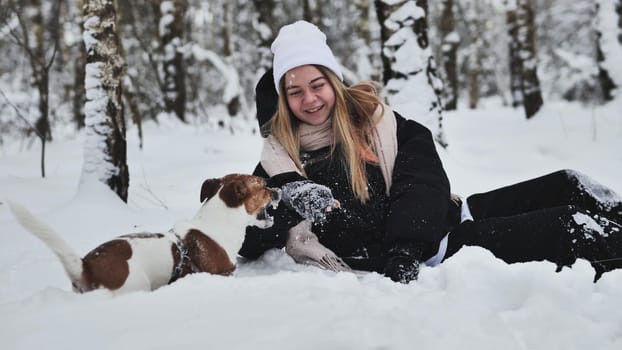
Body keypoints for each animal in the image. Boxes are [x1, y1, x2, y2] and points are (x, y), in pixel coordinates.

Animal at [9, 174, 280, 292]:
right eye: (263, 186)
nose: (278, 190)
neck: (218, 223)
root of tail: (86, 266)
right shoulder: (222, 274)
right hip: (136, 285)